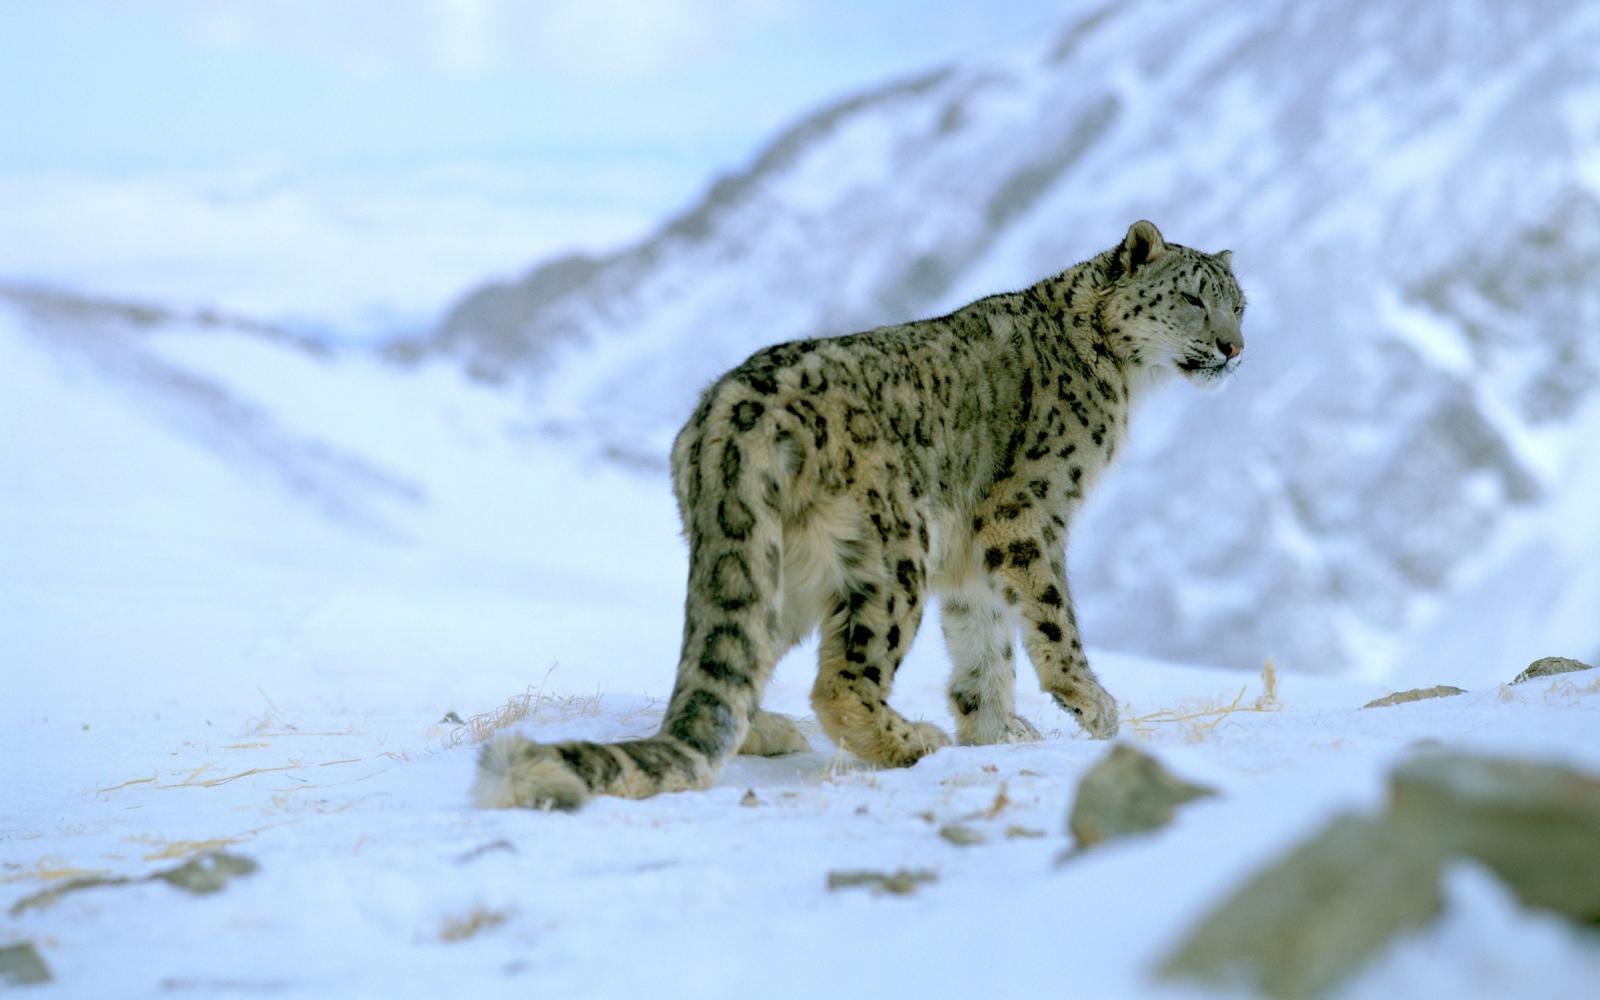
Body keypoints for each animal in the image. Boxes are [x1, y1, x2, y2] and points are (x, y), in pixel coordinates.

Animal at [473, 222, 1248, 806]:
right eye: (1191, 298)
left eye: (1240, 305)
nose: (1235, 348)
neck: (1123, 381)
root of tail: (727, 416)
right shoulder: (1028, 515)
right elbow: (1051, 617)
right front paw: (1094, 708)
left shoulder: (970, 553)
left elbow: (984, 640)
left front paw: (997, 729)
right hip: (893, 551)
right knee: (842, 681)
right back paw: (908, 740)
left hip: (776, 566)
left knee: (736, 661)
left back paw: (769, 730)